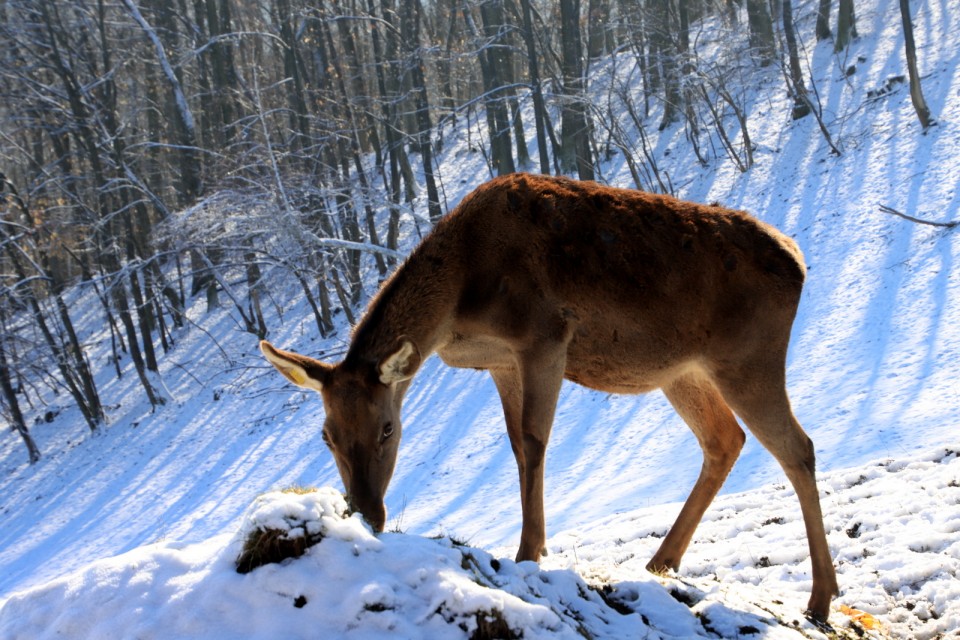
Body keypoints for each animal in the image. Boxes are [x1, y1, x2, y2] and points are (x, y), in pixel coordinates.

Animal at [262, 172, 840, 624]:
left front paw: (528, 551)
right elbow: (518, 445)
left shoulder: (544, 334)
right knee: (725, 440)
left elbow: (536, 440)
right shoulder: (500, 361)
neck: (461, 297)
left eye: (388, 428)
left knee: (799, 448)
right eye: (326, 436)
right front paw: (530, 545)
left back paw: (820, 598)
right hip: (683, 372)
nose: (365, 513)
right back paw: (660, 562)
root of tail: (800, 261)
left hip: (748, 358)